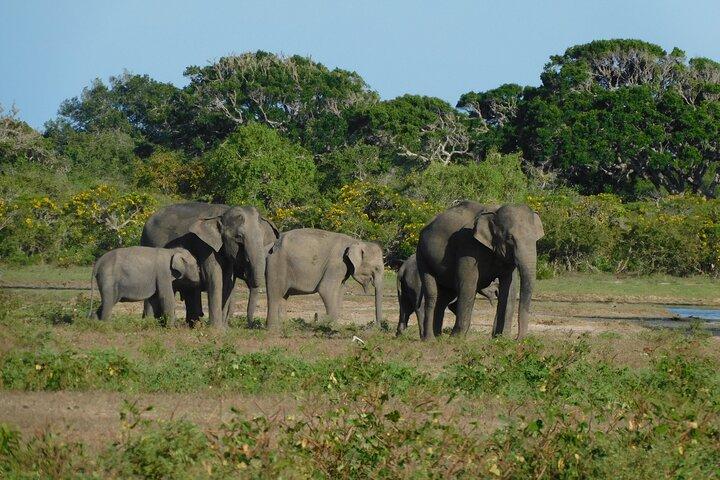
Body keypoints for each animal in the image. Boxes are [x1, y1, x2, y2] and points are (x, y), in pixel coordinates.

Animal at [140, 202, 279, 328]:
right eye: (238, 237)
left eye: (262, 237)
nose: (251, 325)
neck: (222, 214)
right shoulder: (205, 245)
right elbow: (214, 277)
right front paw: (216, 329)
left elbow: (227, 282)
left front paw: (223, 329)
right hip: (149, 244)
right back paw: (152, 323)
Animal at [416, 201, 544, 340]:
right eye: (510, 238)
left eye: (535, 238)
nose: (517, 339)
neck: (494, 212)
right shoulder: (468, 245)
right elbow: (468, 284)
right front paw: (456, 338)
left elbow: (509, 288)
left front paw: (501, 338)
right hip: (422, 255)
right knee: (432, 294)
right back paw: (430, 339)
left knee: (444, 297)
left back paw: (438, 336)